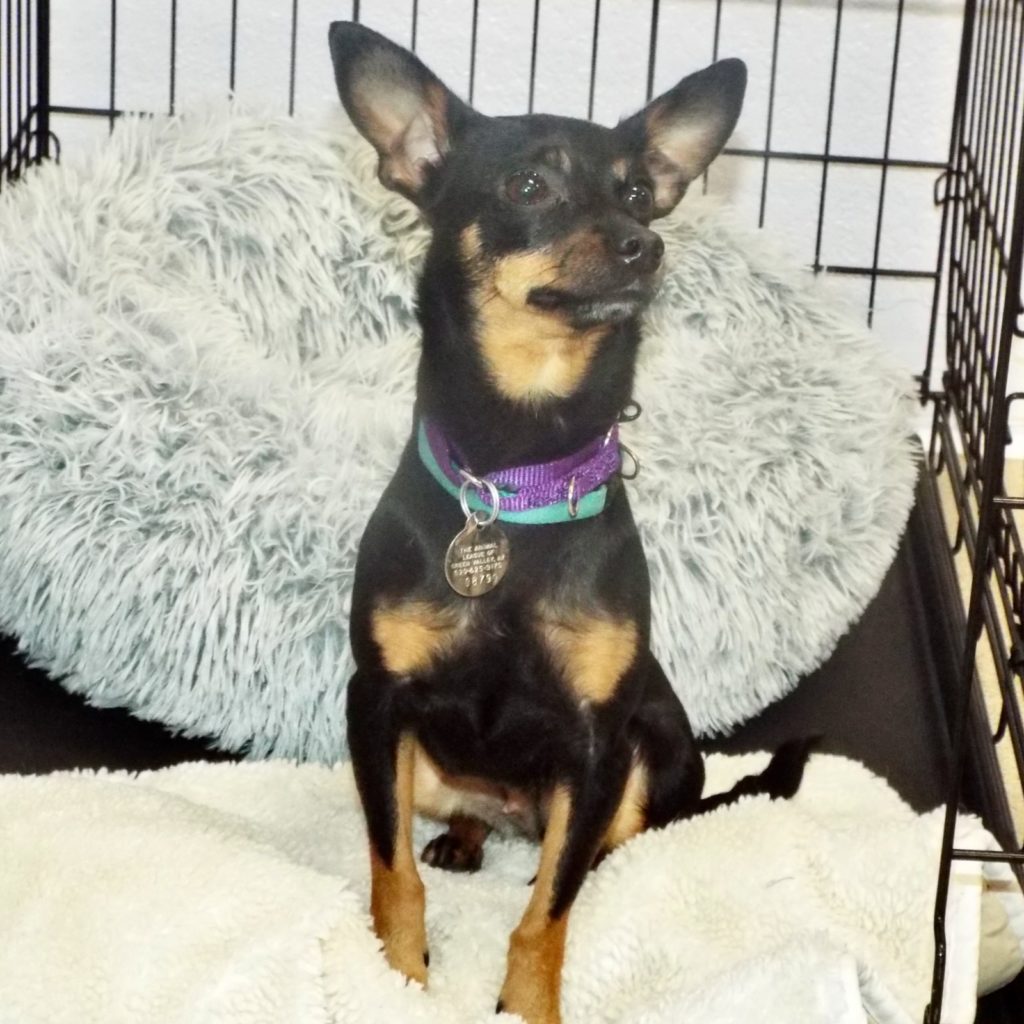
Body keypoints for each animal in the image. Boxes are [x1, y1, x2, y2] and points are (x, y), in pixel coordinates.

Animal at [329, 22, 811, 1024]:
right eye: (528, 187)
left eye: (635, 192)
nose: (644, 246)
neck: (520, 480)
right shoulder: (377, 705)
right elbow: (391, 873)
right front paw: (399, 975)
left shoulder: (598, 739)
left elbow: (548, 913)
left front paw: (528, 1002)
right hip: (422, 767)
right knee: (455, 820)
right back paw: (466, 837)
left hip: (657, 750)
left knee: (596, 848)